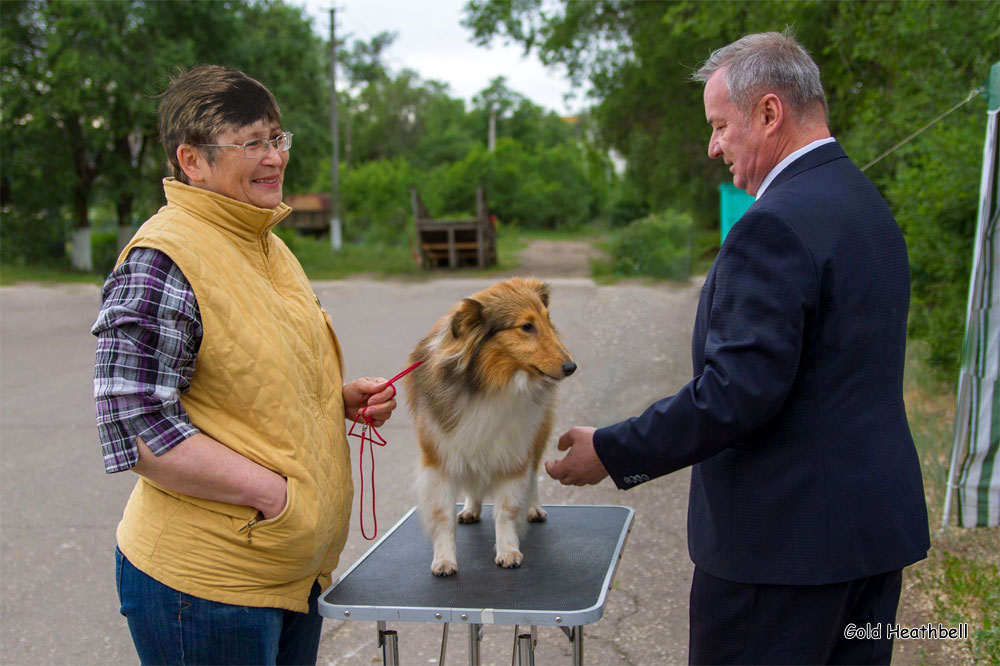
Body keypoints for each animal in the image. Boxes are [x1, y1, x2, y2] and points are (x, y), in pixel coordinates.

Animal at [406, 278, 580, 572]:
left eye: (548, 319)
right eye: (526, 326)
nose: (571, 367)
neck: (489, 384)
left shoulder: (513, 453)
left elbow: (507, 509)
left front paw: (508, 550)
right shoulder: (440, 458)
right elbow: (442, 515)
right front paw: (444, 559)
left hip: (537, 436)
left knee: (533, 477)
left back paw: (533, 508)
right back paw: (471, 509)